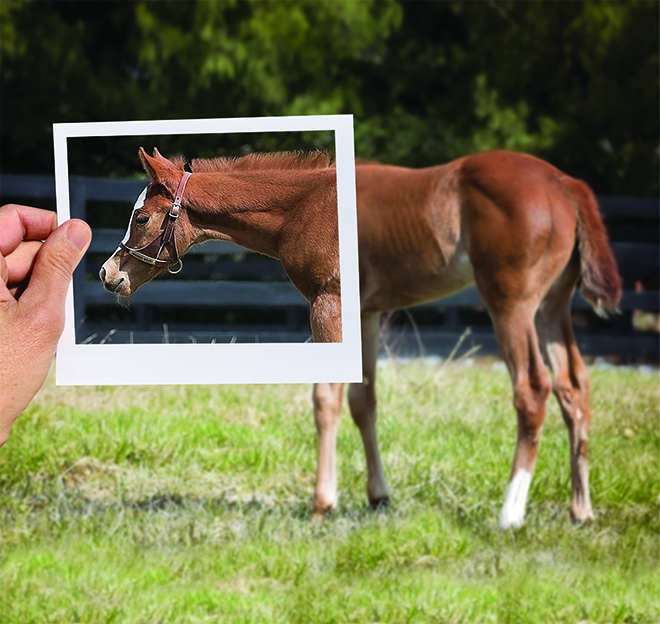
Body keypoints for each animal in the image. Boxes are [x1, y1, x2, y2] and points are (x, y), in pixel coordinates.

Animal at [102, 149, 620, 528]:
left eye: (141, 218)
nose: (109, 274)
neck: (302, 206)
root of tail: (564, 184)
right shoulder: (367, 313)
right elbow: (363, 400)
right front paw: (378, 496)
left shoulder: (328, 302)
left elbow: (325, 399)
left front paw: (322, 503)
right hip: (552, 305)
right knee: (575, 387)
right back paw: (581, 510)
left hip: (511, 303)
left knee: (533, 388)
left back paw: (510, 513)